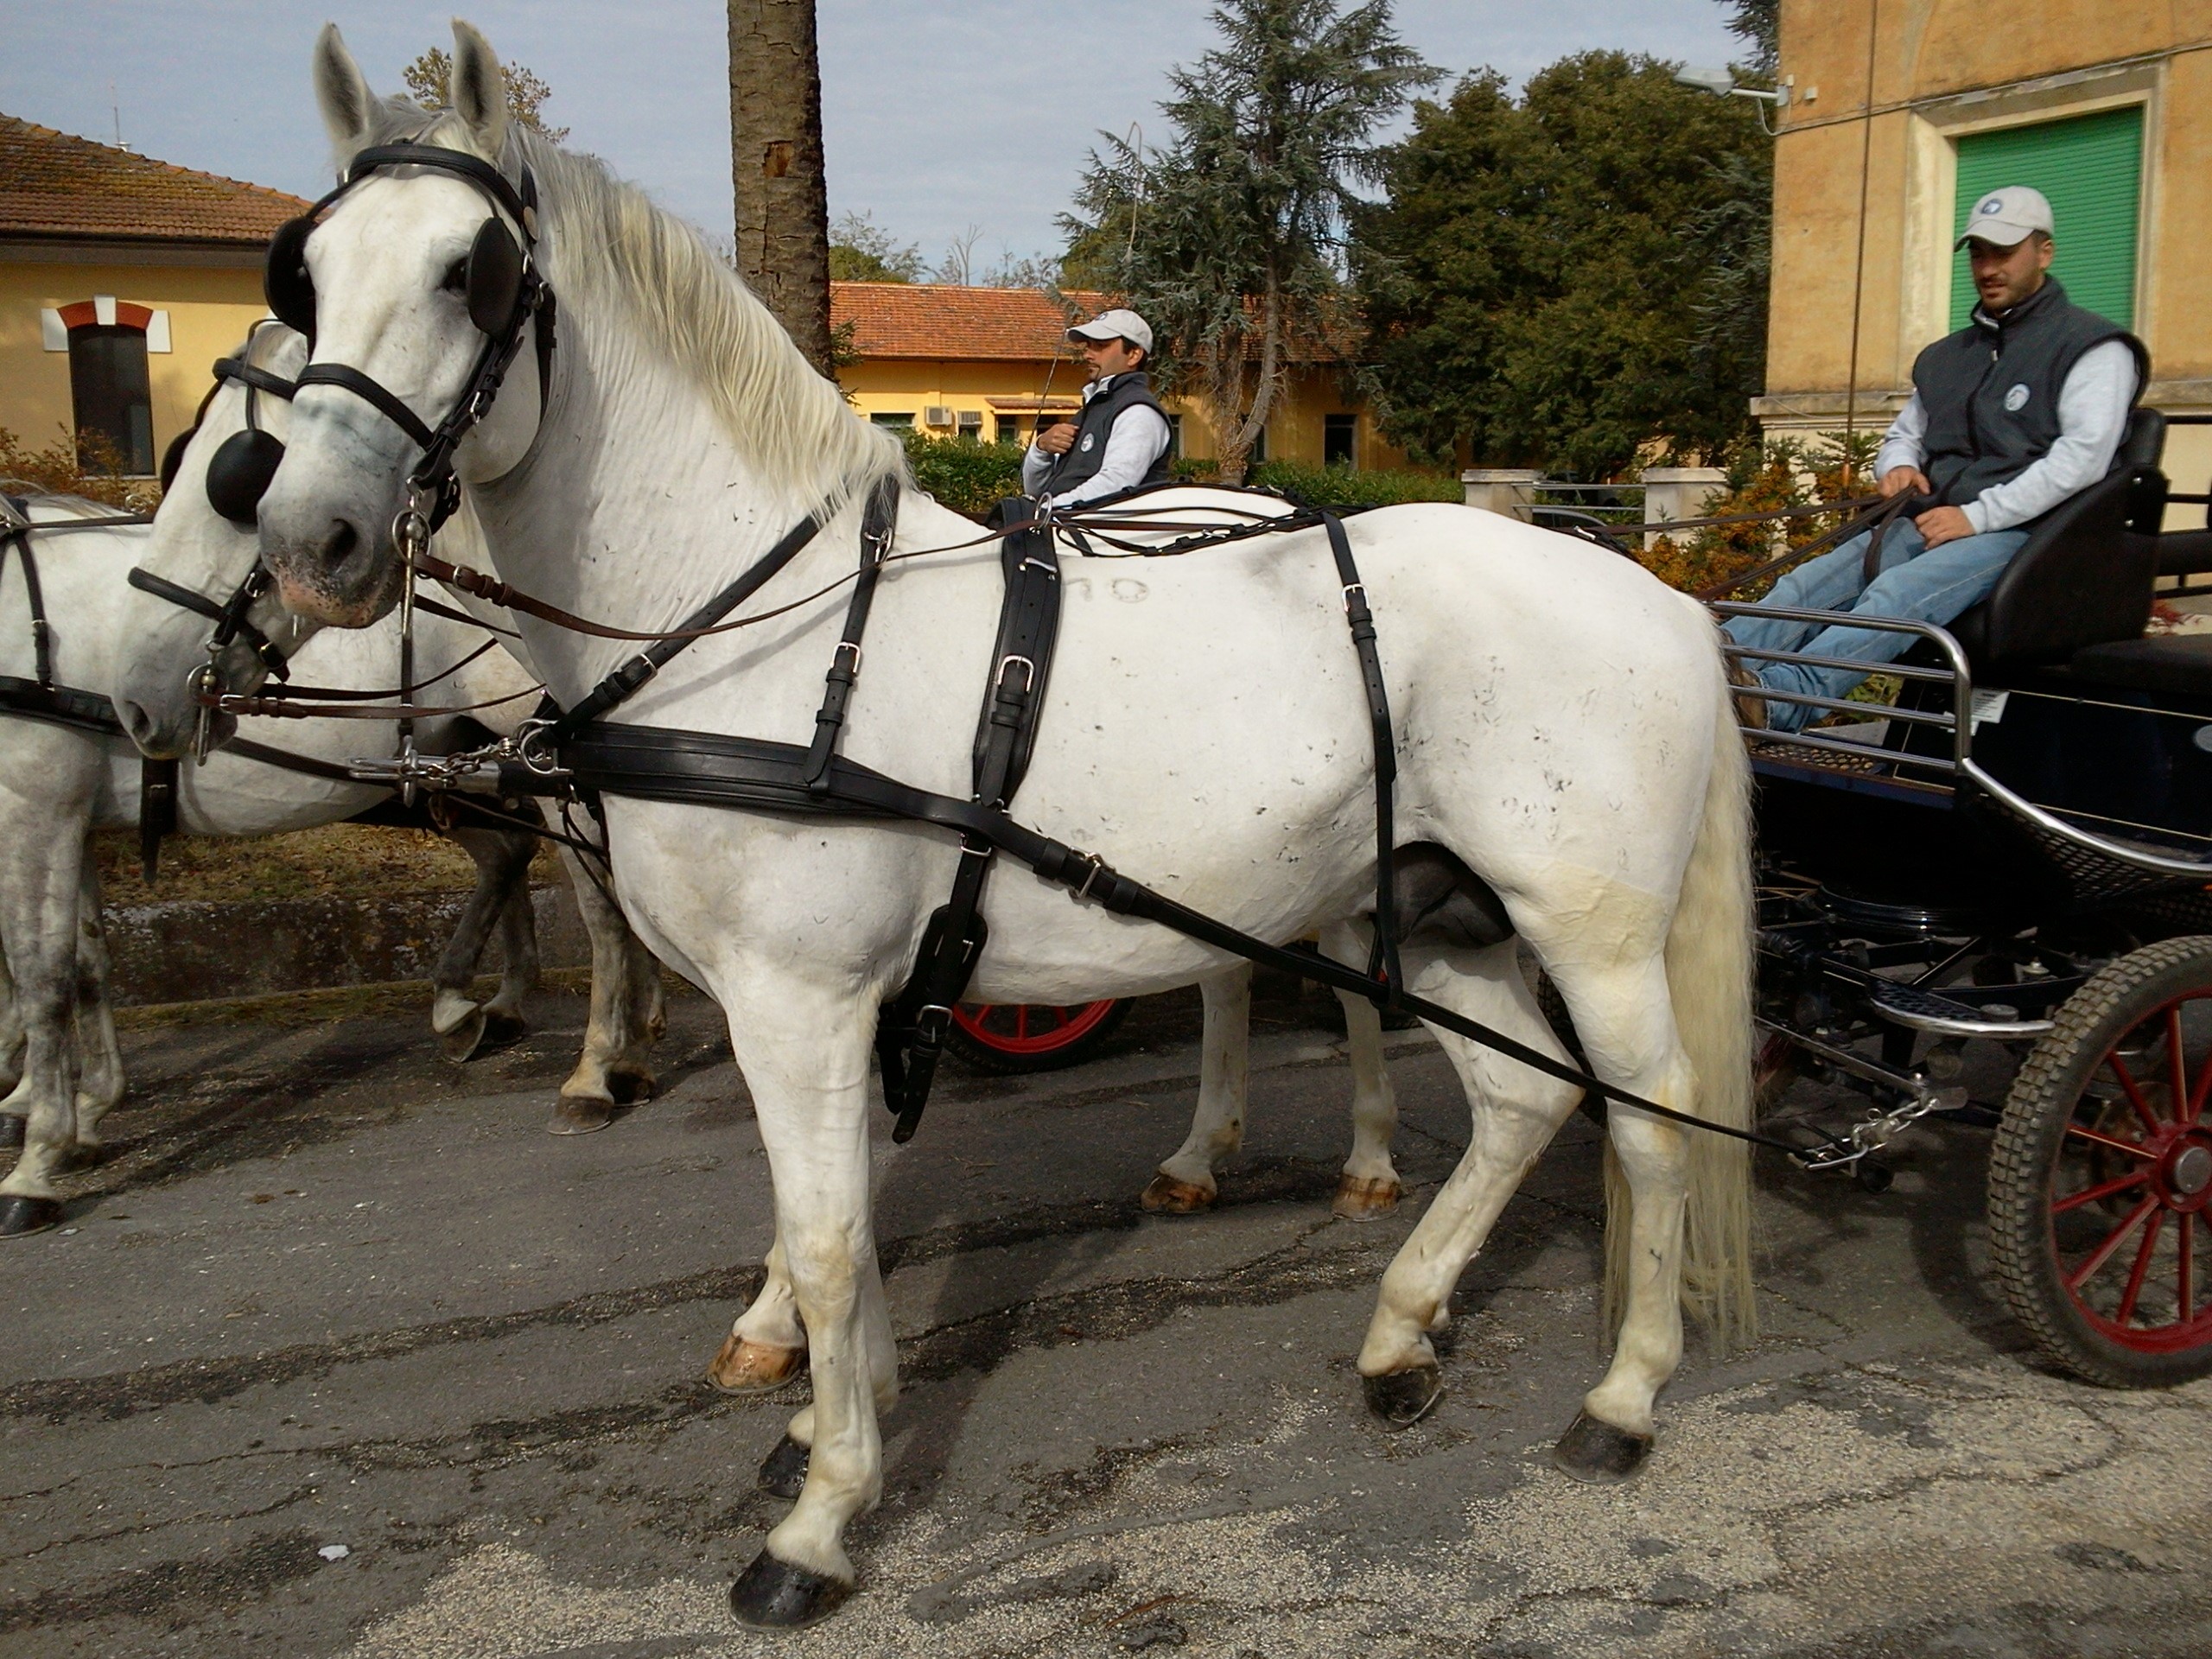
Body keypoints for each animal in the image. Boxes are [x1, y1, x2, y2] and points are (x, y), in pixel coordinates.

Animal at [137, 23, 1757, 1626]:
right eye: (306, 271)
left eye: (468, 270)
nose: (314, 539)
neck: (762, 633)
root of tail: (1663, 595)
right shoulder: (822, 1003)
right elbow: (837, 1213)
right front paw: (820, 1409)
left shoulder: (802, 999)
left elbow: (828, 1233)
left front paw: (819, 1513)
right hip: (1420, 908)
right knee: (1525, 1100)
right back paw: (1402, 1330)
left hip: (1591, 935)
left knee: (1650, 1118)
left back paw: (1623, 1395)